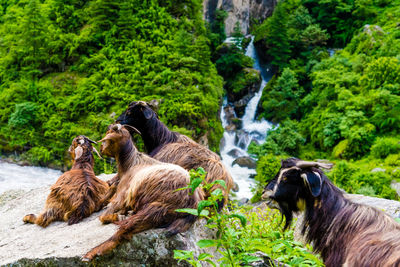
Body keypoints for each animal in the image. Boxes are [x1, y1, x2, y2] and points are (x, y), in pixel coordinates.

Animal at [83, 125, 205, 262]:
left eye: (109, 134)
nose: (101, 148)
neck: (130, 165)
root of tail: (195, 200)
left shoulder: (122, 196)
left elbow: (103, 216)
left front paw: (116, 216)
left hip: (156, 208)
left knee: (123, 231)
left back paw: (91, 253)